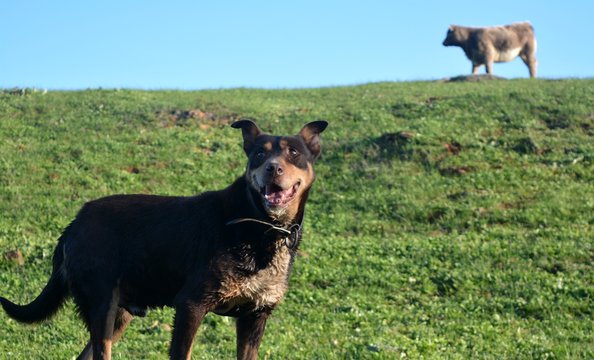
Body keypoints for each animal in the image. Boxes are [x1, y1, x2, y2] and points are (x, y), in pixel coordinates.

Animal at [0, 120, 326, 360]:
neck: (261, 226)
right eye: (259, 154)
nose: (273, 168)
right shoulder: (191, 305)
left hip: (118, 315)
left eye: (294, 153)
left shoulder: (255, 316)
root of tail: (74, 223)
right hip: (101, 305)